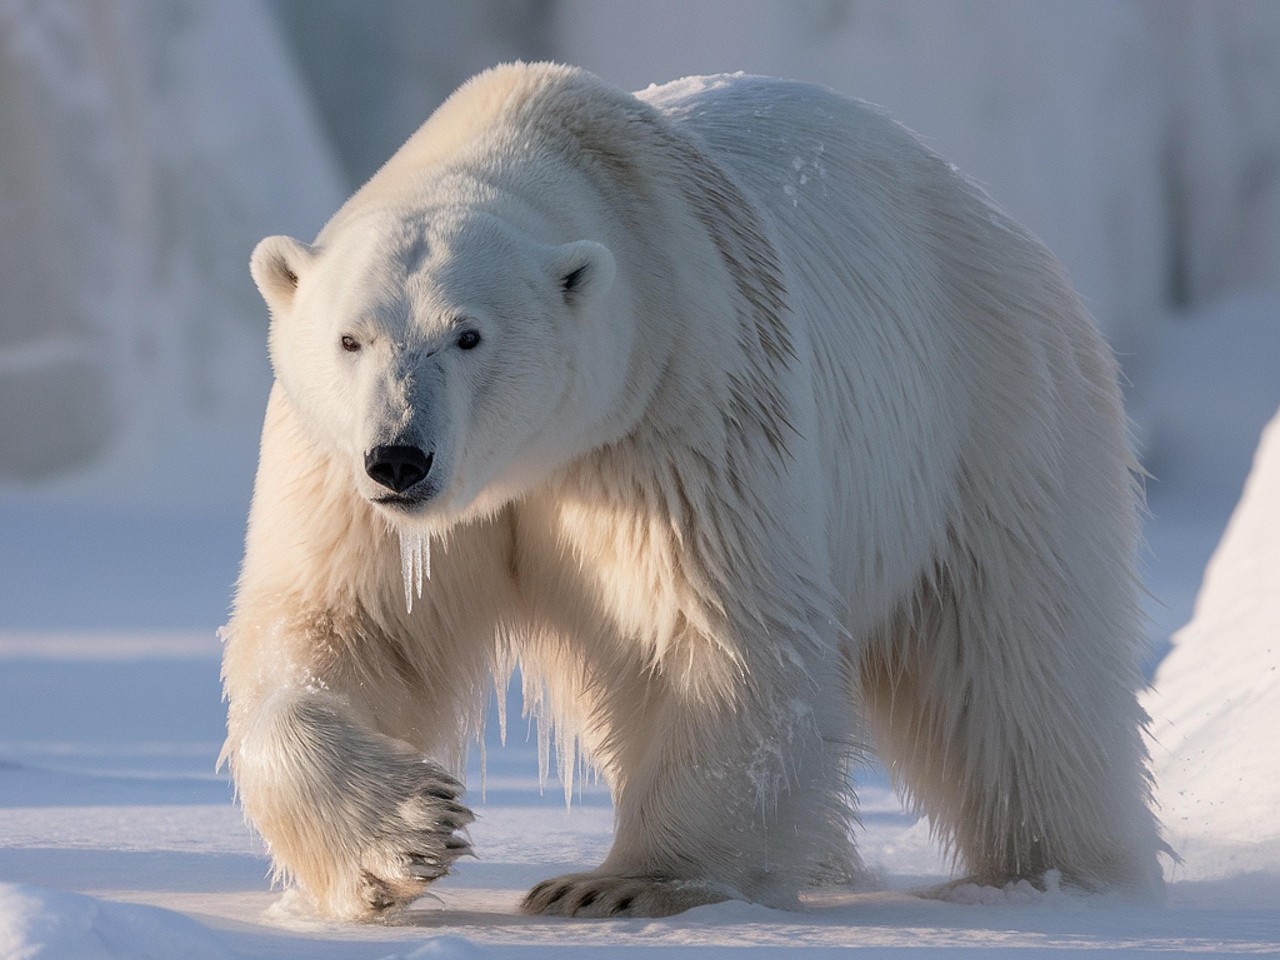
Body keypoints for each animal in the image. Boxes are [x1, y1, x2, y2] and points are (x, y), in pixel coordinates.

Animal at [221, 62, 1166, 920]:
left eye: (468, 335)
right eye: (351, 337)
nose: (400, 459)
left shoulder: (676, 406)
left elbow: (714, 631)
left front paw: (623, 883)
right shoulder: (337, 467)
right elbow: (344, 628)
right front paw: (405, 834)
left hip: (993, 414)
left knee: (1020, 665)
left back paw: (1051, 873)